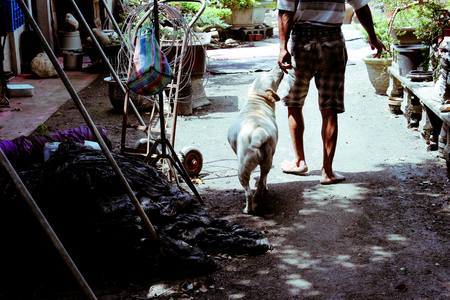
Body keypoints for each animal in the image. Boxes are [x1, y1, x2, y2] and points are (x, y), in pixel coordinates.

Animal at [227, 67, 284, 214]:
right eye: (269, 74)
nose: (279, 66)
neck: (257, 100)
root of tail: (259, 132)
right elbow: (264, 180)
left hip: (242, 170)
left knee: (249, 193)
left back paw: (248, 210)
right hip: (267, 161)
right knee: (262, 180)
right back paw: (261, 193)